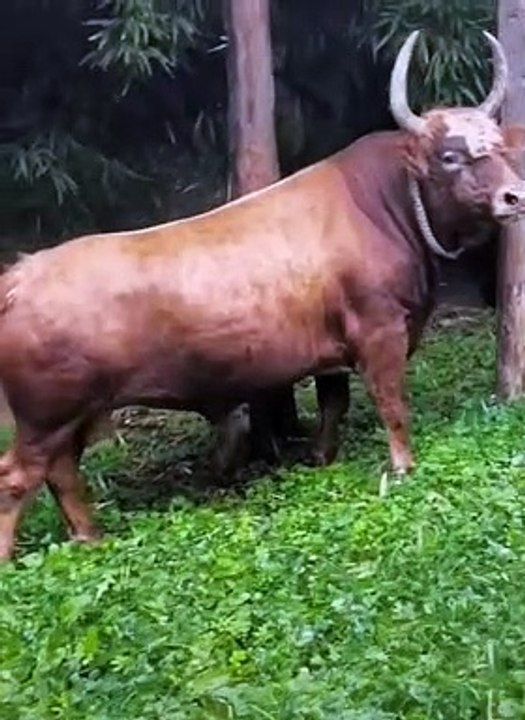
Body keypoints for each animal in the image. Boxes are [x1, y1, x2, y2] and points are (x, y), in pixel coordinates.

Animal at [0, 30, 525, 560]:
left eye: (500, 146)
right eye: (450, 155)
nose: (513, 196)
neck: (386, 203)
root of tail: (21, 273)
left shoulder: (331, 352)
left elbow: (334, 404)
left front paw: (321, 457)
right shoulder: (380, 332)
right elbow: (391, 404)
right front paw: (402, 467)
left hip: (74, 416)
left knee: (61, 472)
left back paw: (90, 536)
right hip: (46, 416)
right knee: (17, 476)